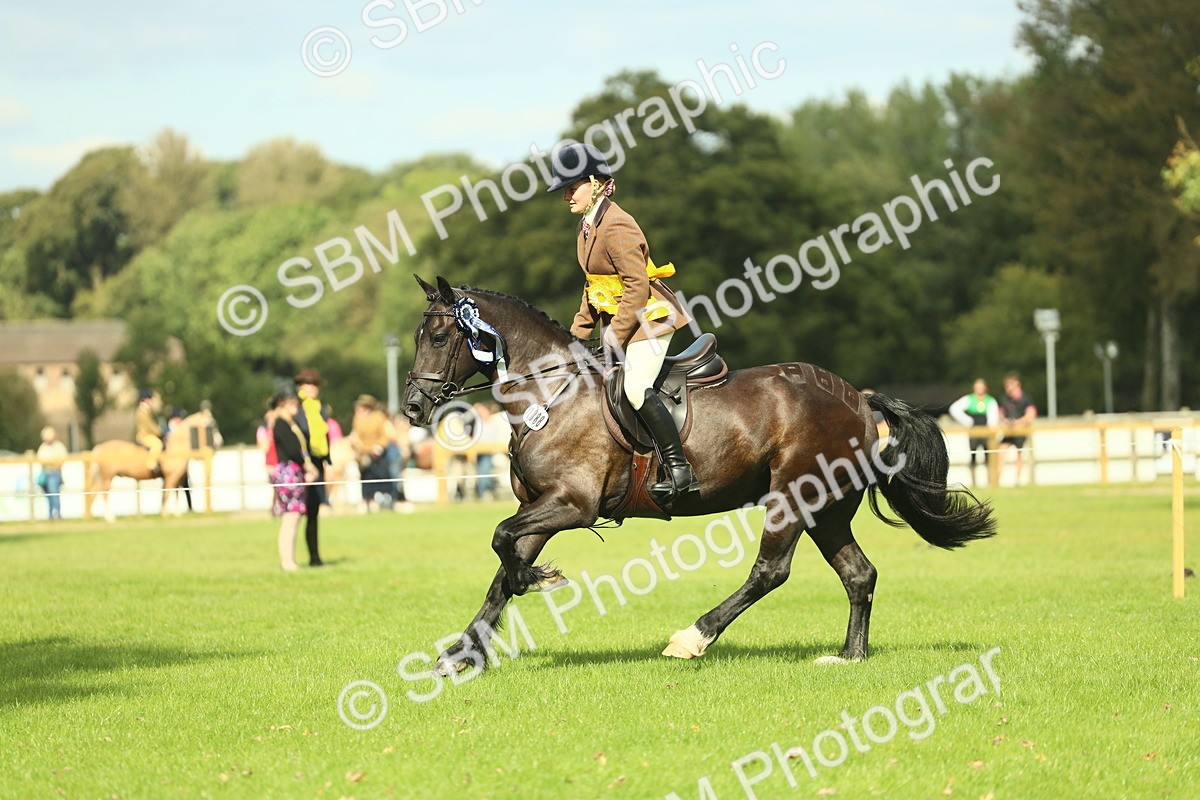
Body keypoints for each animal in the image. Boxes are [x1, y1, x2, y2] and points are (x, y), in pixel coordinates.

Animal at [403, 276, 996, 674]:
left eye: (438, 338)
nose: (411, 406)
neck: (551, 393)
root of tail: (857, 398)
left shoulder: (572, 503)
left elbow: (501, 541)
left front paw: (535, 581)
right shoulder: (541, 505)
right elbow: (501, 571)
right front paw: (460, 655)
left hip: (793, 497)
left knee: (771, 572)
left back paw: (693, 637)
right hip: (826, 507)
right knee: (858, 574)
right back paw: (850, 656)